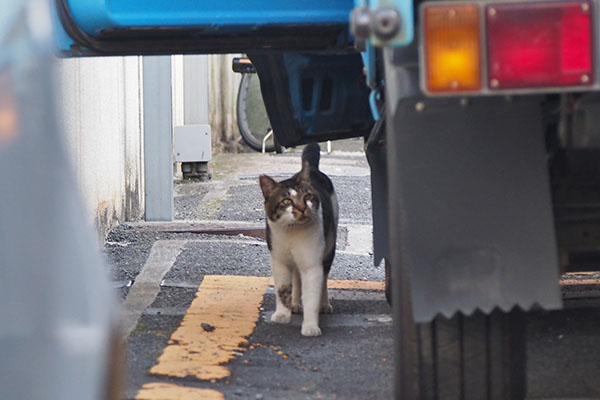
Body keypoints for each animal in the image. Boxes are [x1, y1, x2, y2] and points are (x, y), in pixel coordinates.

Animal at [258, 142, 340, 336]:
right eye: (287, 201)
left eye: (307, 197)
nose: (302, 208)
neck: (292, 232)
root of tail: (314, 170)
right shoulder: (279, 261)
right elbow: (282, 289)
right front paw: (282, 314)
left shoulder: (312, 265)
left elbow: (311, 296)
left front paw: (310, 326)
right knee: (296, 275)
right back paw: (295, 304)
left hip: (328, 249)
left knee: (324, 279)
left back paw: (324, 305)